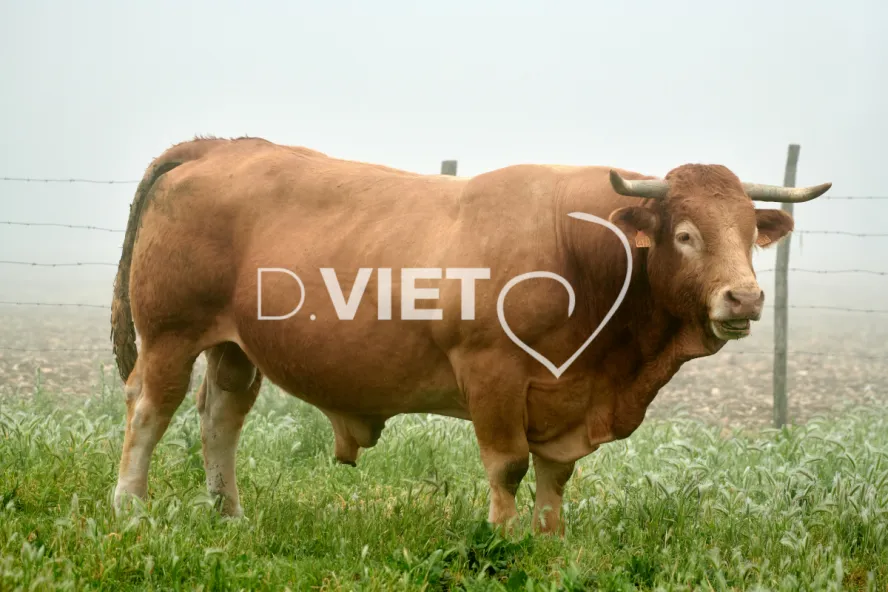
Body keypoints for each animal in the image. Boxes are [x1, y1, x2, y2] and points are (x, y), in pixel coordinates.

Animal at [109, 136, 830, 534]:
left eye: (749, 233)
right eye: (685, 234)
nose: (745, 297)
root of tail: (223, 144)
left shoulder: (566, 396)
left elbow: (556, 474)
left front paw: (549, 541)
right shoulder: (493, 372)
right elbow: (508, 465)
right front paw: (504, 540)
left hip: (235, 346)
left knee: (219, 418)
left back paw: (229, 516)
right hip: (170, 333)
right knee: (149, 412)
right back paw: (131, 510)